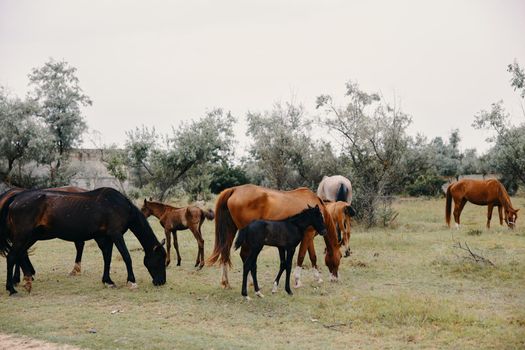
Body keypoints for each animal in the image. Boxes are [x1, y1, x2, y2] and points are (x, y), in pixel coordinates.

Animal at [0, 187, 166, 294]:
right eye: (159, 259)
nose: (161, 282)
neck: (119, 205)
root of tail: (16, 198)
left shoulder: (104, 238)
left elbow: (107, 258)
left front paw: (108, 281)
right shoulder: (116, 235)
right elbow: (126, 257)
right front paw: (131, 281)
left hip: (30, 237)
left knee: (20, 255)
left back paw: (27, 280)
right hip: (23, 236)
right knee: (12, 256)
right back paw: (11, 288)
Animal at [207, 185, 342, 288]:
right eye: (340, 256)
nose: (335, 278)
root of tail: (235, 189)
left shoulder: (309, 237)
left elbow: (313, 257)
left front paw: (317, 278)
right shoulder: (307, 236)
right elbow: (301, 257)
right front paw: (298, 280)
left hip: (231, 230)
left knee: (225, 253)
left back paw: (226, 282)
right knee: (244, 255)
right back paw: (251, 282)